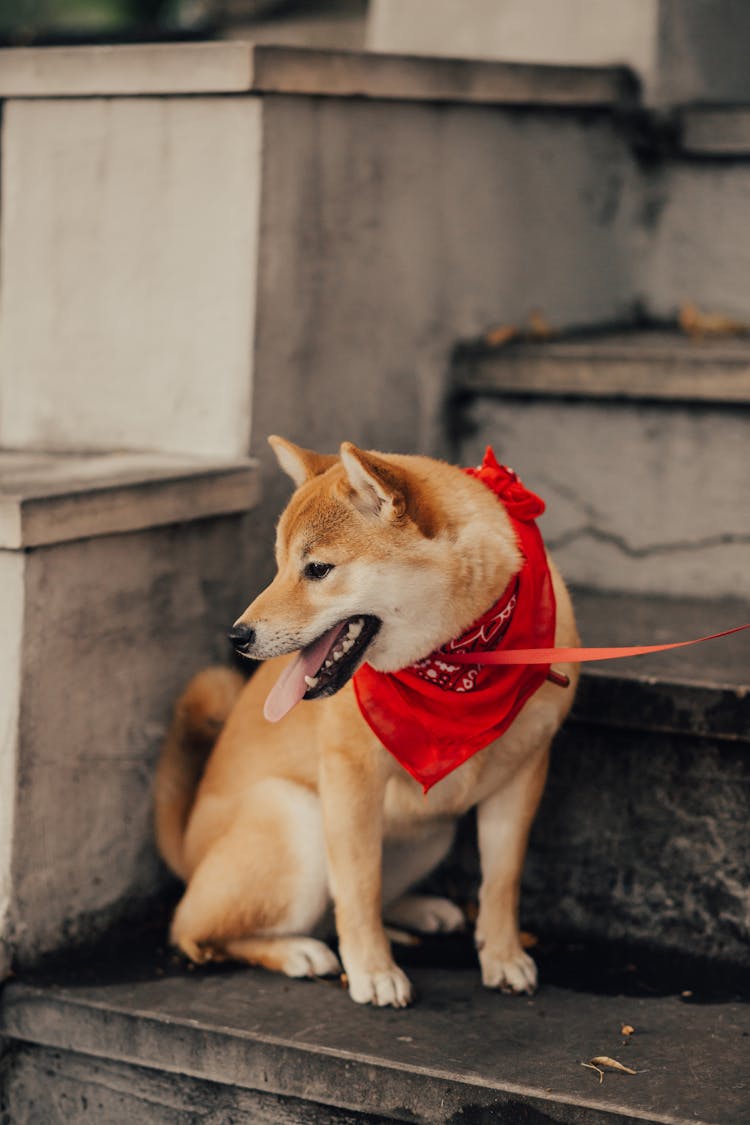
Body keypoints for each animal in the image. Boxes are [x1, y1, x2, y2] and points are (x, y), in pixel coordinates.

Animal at [155, 436, 580, 1012]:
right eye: (279, 565)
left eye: (316, 569)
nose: (236, 636)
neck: (464, 659)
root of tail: (189, 852)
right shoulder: (349, 777)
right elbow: (359, 887)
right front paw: (375, 970)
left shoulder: (523, 775)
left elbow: (501, 881)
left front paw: (503, 956)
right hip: (297, 818)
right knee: (196, 930)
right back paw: (298, 951)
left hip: (432, 832)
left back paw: (415, 912)